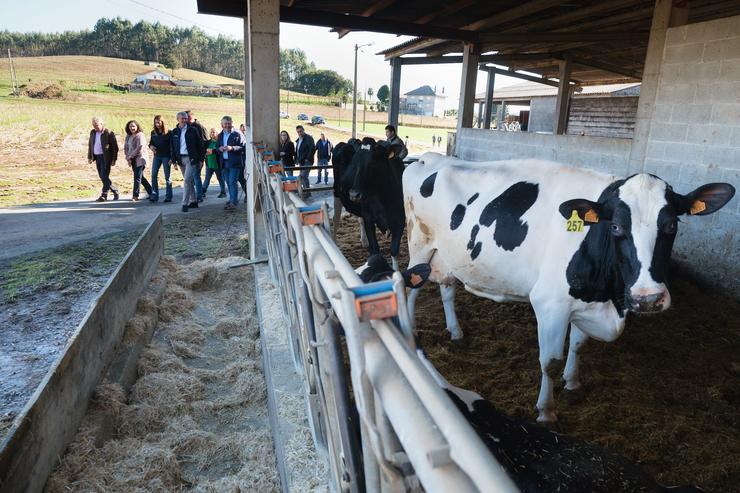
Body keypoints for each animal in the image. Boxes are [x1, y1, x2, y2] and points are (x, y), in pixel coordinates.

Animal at [334, 136, 404, 270]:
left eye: (372, 163)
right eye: (354, 163)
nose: (354, 194)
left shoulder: (400, 220)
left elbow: (394, 250)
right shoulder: (369, 219)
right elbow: (375, 250)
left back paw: (364, 242)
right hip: (336, 193)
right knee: (336, 219)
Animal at [404, 152, 736, 420]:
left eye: (671, 225)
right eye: (616, 226)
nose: (648, 298)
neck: (608, 296)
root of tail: (429, 157)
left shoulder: (586, 302)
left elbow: (578, 345)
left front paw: (573, 383)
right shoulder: (550, 304)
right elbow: (549, 362)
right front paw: (546, 412)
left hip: (448, 256)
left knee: (447, 288)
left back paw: (456, 332)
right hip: (420, 244)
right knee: (411, 287)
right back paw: (411, 331)